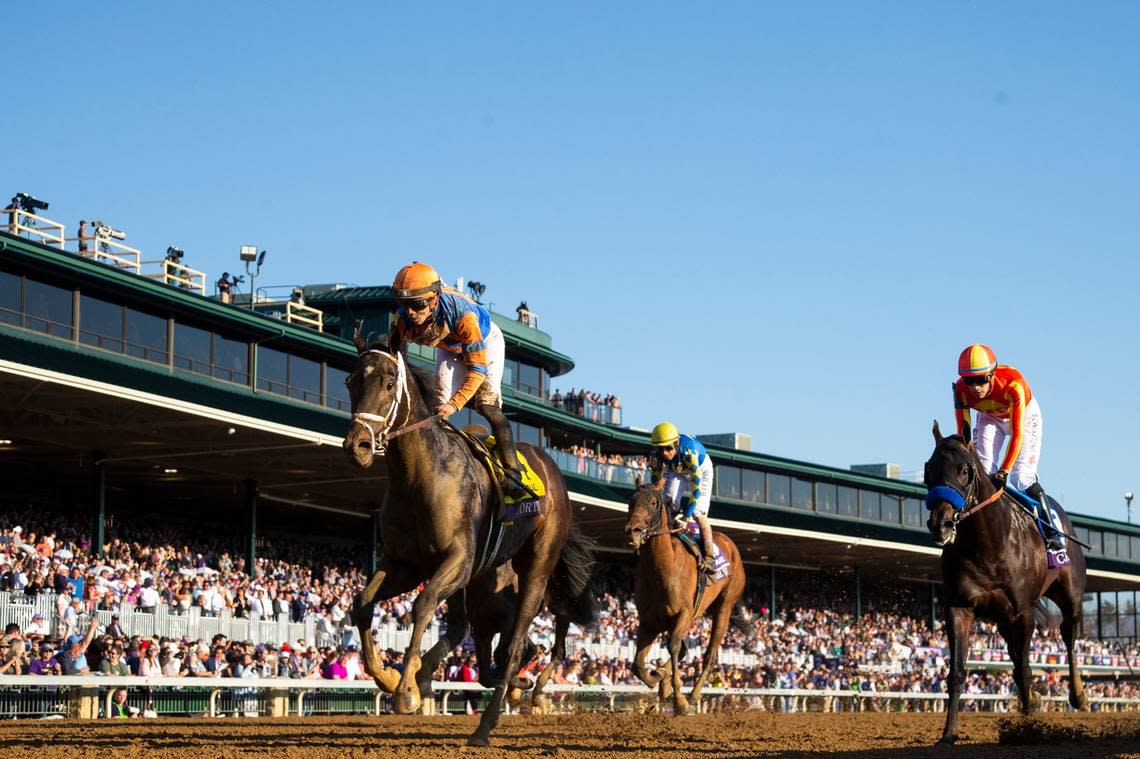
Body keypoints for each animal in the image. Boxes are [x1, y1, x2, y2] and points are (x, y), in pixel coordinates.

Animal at [342, 339, 597, 743]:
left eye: (388, 383)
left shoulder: (459, 561)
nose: (359, 446)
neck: (421, 477)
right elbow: (363, 603)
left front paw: (406, 692)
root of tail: (551, 467)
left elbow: (423, 605)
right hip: (483, 585)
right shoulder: (404, 564)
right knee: (491, 642)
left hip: (536, 571)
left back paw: (486, 723)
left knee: (514, 644)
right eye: (351, 381)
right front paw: (388, 675)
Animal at [624, 480, 747, 711]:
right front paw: (659, 677)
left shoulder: (682, 613)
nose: (633, 531)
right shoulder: (648, 620)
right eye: (631, 500)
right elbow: (637, 665)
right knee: (683, 650)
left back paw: (692, 696)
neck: (663, 567)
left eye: (653, 502)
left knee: (709, 655)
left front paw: (679, 700)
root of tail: (730, 545)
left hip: (723, 607)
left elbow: (672, 646)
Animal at [925, 417, 1085, 743]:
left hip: (1070, 595)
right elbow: (957, 672)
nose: (940, 524)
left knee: (1069, 635)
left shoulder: (1022, 613)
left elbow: (1024, 671)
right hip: (1001, 620)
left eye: (964, 470)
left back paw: (1077, 695)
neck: (987, 543)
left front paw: (1029, 727)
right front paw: (949, 733)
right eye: (929, 470)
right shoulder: (959, 607)